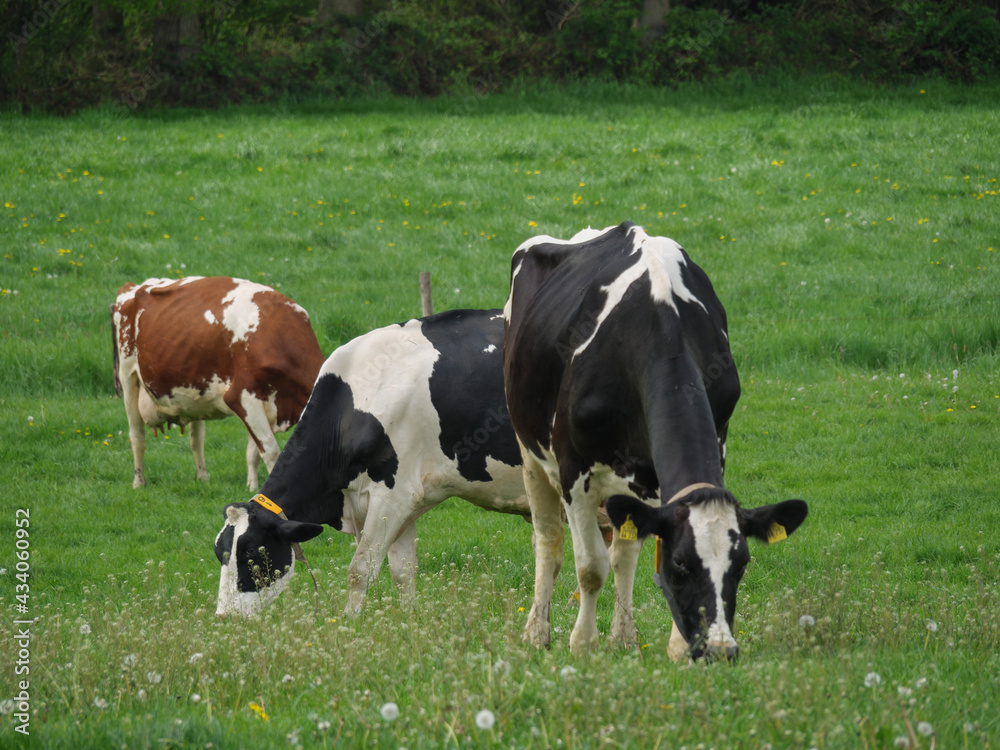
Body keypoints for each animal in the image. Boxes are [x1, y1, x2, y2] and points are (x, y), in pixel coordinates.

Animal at [113, 276, 324, 494]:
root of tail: (136, 286)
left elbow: (253, 453)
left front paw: (251, 487)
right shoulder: (243, 397)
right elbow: (271, 450)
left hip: (193, 390)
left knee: (196, 438)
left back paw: (203, 478)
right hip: (128, 377)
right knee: (137, 435)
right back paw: (139, 482)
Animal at [213, 308, 616, 620]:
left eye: (253, 553)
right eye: (220, 552)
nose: (224, 617)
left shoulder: (393, 494)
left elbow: (360, 569)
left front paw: (349, 624)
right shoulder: (406, 502)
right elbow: (403, 572)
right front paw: (408, 623)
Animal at [504, 225, 808, 664]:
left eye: (741, 565)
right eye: (681, 565)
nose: (720, 650)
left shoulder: (707, 447)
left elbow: (630, 555)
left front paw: (676, 648)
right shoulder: (573, 469)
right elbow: (590, 567)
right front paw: (583, 644)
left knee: (623, 556)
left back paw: (624, 638)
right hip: (530, 453)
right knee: (549, 543)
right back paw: (536, 633)